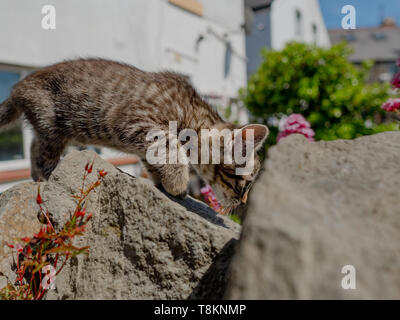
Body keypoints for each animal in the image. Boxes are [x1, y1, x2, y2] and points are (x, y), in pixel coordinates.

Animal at [0, 58, 268, 211]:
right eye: (245, 184)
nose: (243, 203)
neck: (191, 111)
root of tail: (18, 87)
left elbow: (154, 158)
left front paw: (164, 181)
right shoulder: (135, 120)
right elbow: (170, 146)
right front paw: (178, 181)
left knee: (34, 146)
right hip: (51, 125)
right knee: (42, 154)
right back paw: (45, 178)